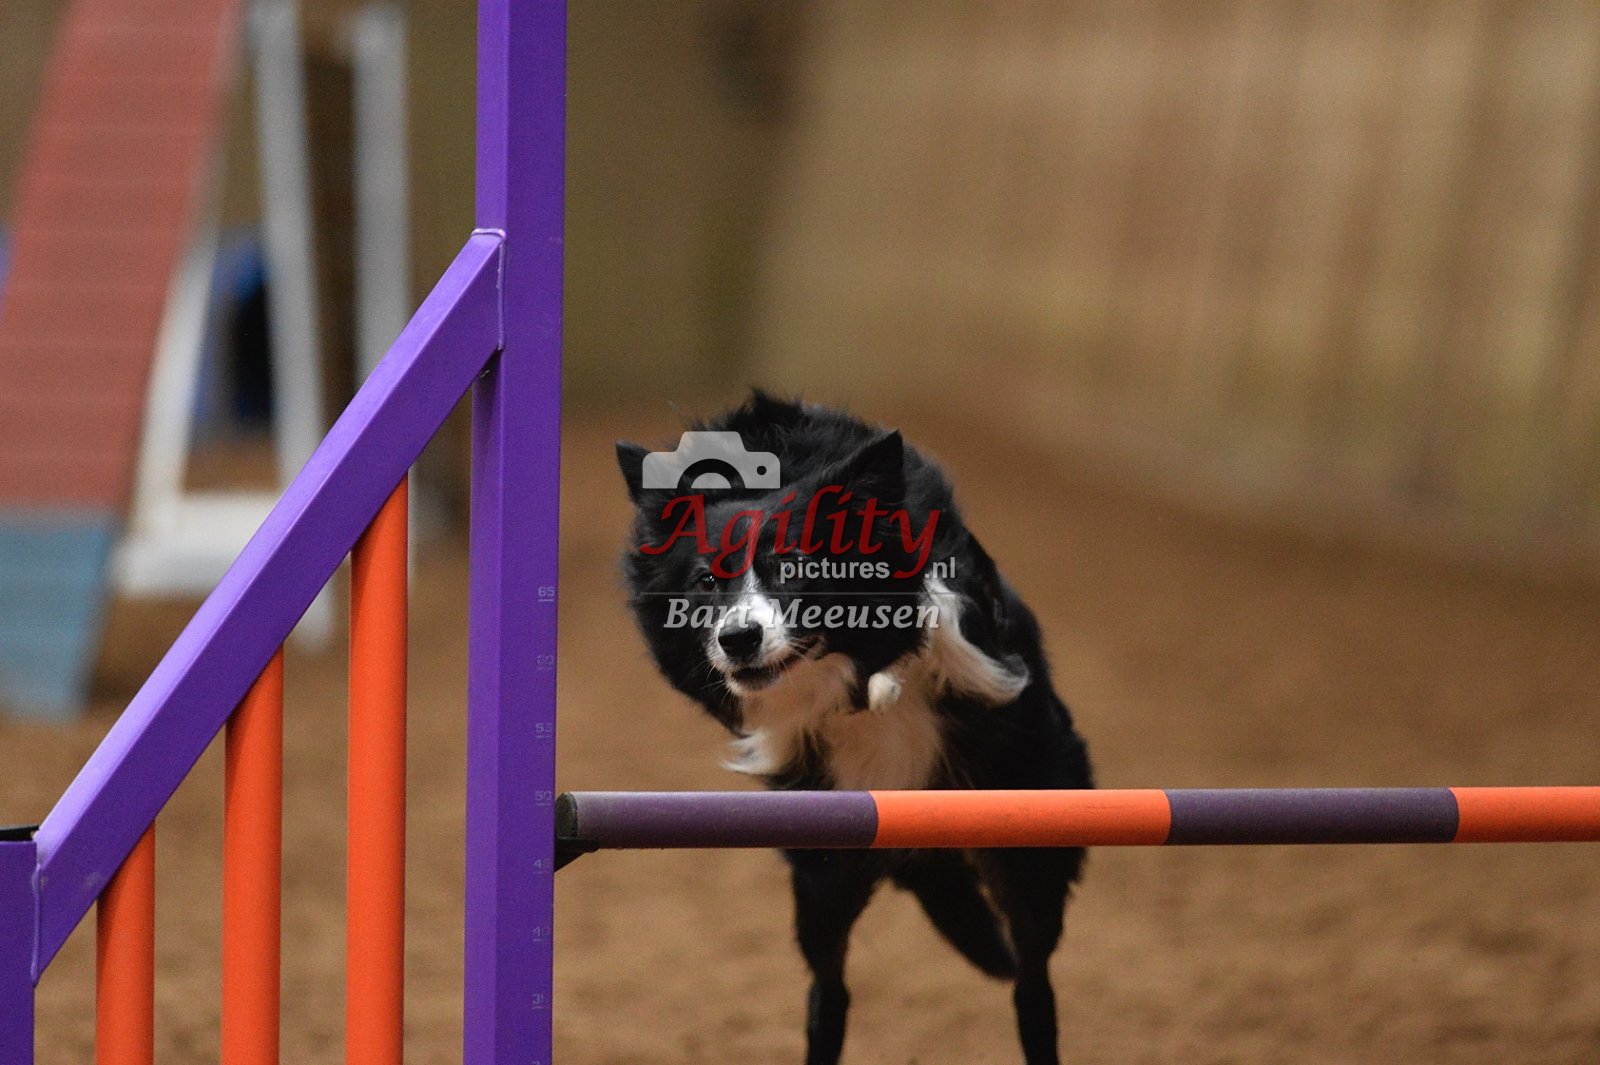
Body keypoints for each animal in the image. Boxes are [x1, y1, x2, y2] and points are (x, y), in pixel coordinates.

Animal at [616, 392, 1093, 1065]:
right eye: (707, 580)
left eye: (793, 568)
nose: (738, 640)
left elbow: (933, 626)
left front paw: (890, 679)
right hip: (825, 880)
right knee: (830, 992)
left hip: (1027, 842)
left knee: (1031, 983)